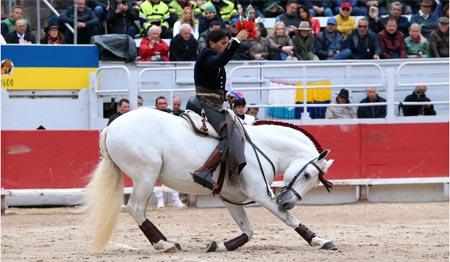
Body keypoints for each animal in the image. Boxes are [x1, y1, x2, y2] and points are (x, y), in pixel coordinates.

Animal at [86, 107, 336, 253]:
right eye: (307, 175)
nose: (287, 202)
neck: (263, 147)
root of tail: (111, 127)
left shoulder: (230, 197)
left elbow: (248, 230)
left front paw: (219, 245)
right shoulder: (260, 194)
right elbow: (288, 220)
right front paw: (320, 241)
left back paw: (169, 242)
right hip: (146, 175)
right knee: (136, 208)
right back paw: (164, 244)